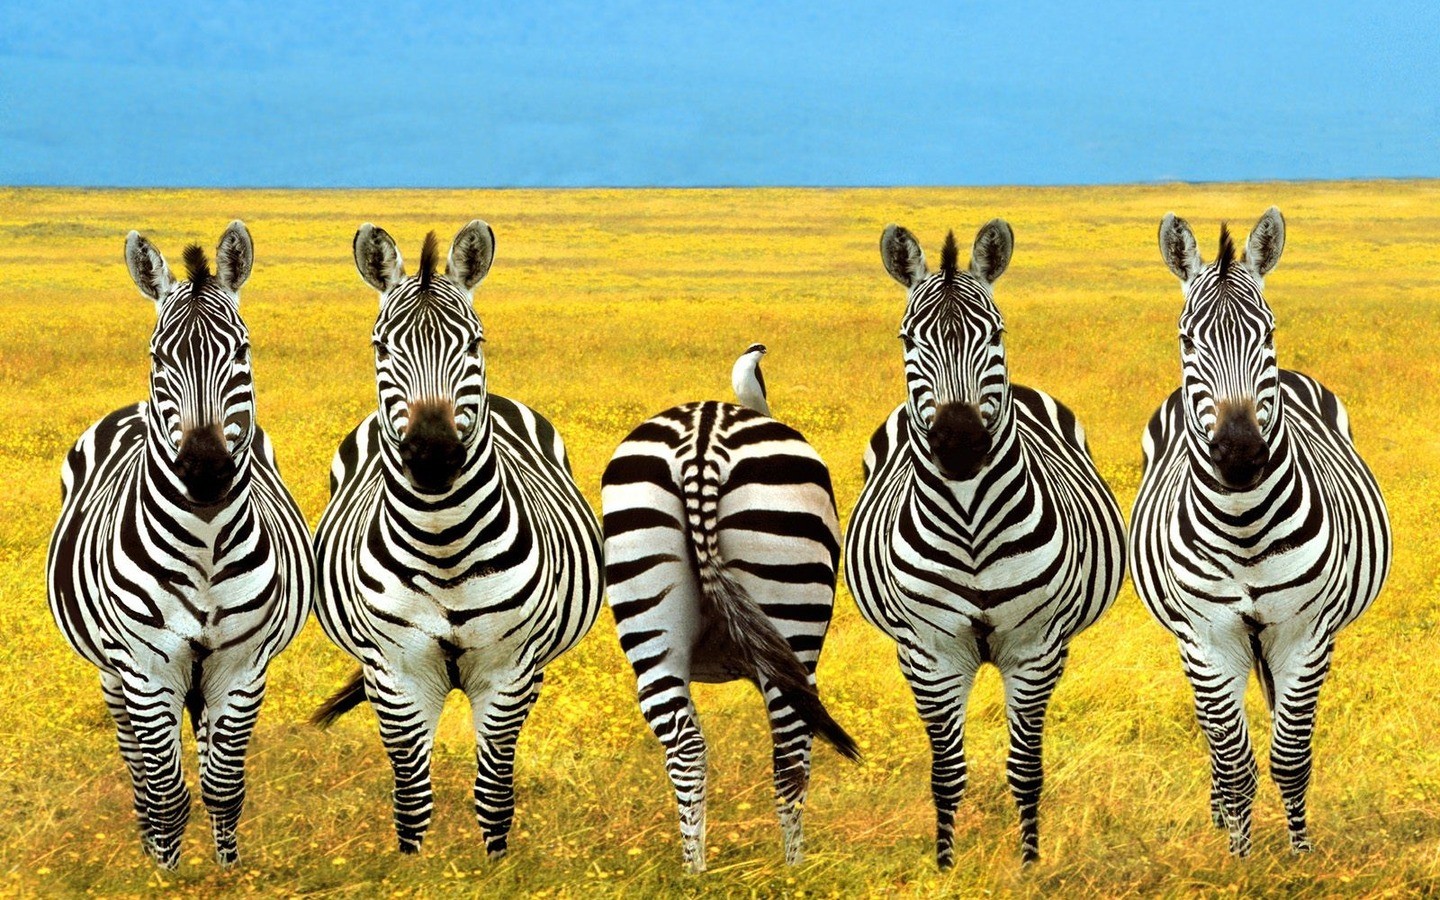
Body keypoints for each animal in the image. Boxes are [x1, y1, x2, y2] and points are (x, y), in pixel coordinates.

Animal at [46, 223, 314, 869]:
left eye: (241, 351)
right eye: (158, 357)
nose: (205, 468)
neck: (206, 544)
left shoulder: (241, 666)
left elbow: (223, 784)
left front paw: (227, 872)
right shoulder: (146, 666)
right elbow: (166, 792)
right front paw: (164, 875)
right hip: (114, 674)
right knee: (138, 767)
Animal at [310, 221, 604, 858]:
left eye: (475, 342)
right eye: (380, 348)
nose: (433, 454)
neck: (444, 545)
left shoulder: (508, 671)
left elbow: (494, 792)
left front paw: (496, 867)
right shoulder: (397, 672)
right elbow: (411, 797)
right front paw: (411, 869)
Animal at [600, 345, 859, 873]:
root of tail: (702, 437)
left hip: (646, 606)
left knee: (686, 748)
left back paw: (695, 873)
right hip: (792, 610)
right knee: (790, 752)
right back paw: (794, 872)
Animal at [845, 222, 1126, 866]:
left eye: (995, 333)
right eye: (907, 339)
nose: (960, 443)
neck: (972, 523)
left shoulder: (1035, 649)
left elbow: (1025, 769)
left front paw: (1029, 865)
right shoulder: (930, 654)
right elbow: (947, 774)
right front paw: (946, 866)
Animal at [1131, 208, 1391, 856]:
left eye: (1267, 333)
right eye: (1186, 340)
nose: (1241, 454)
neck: (1244, 524)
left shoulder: (1306, 633)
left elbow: (1290, 758)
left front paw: (1299, 857)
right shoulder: (1207, 636)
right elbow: (1234, 761)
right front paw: (1239, 858)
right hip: (1192, 642)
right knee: (1214, 736)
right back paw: (1220, 816)